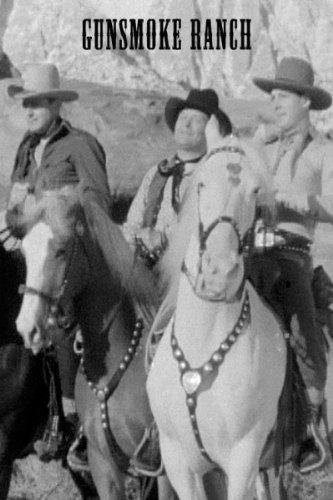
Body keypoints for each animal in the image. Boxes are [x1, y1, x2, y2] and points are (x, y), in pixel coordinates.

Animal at [147, 118, 286, 500]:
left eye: (255, 191)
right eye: (202, 183)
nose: (219, 273)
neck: (204, 342)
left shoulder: (243, 459)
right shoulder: (179, 461)